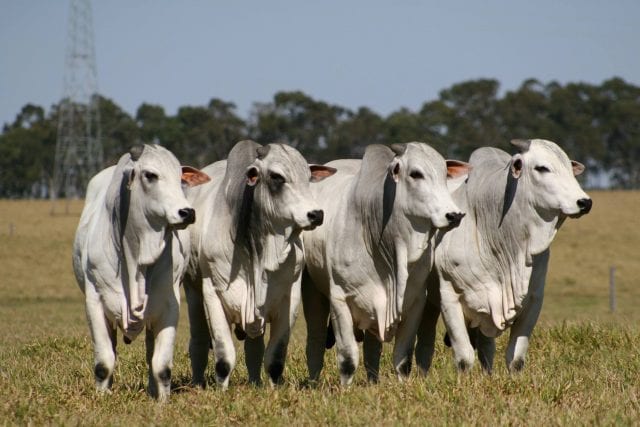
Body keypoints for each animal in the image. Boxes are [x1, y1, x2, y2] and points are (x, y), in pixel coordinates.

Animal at [73, 145, 209, 402]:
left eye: (180, 177)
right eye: (150, 175)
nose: (187, 212)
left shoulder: (168, 306)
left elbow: (161, 365)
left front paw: (162, 401)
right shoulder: (94, 303)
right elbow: (104, 363)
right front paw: (102, 398)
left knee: (150, 352)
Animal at [184, 140, 338, 388]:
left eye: (308, 177)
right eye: (277, 176)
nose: (316, 214)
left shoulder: (289, 298)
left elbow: (274, 358)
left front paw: (273, 389)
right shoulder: (212, 294)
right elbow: (224, 358)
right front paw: (221, 390)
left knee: (254, 348)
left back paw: (255, 382)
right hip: (193, 293)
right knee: (197, 342)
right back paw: (198, 383)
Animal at [302, 142, 468, 386]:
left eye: (445, 174)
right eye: (415, 174)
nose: (454, 215)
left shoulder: (415, 301)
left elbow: (402, 357)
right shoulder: (340, 299)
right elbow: (348, 357)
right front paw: (345, 390)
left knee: (372, 348)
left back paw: (373, 381)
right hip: (313, 293)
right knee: (315, 342)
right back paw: (314, 382)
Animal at [418, 140, 592, 374]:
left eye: (569, 168)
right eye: (542, 168)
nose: (585, 202)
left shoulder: (534, 299)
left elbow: (515, 358)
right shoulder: (449, 297)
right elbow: (464, 358)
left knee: (486, 347)